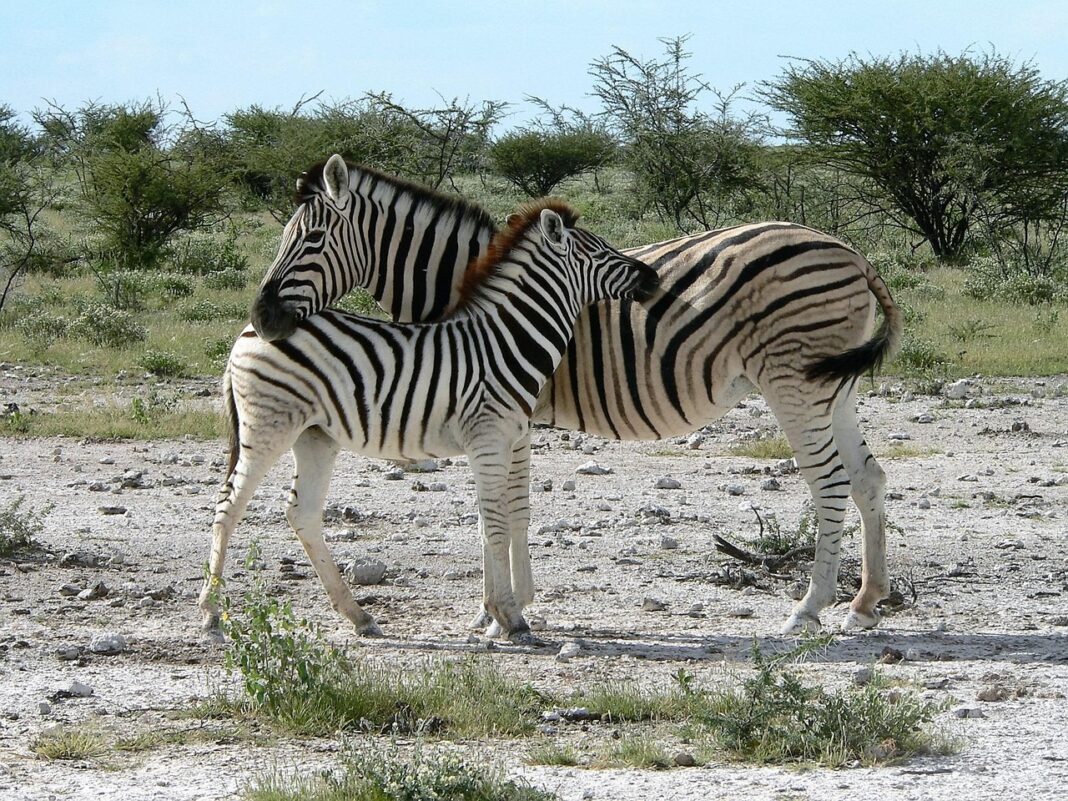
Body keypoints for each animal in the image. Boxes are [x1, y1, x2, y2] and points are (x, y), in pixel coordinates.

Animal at [198, 191, 658, 642]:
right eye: (598, 251)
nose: (652, 278)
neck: (507, 340)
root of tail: (246, 333)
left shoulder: (506, 439)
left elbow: (493, 520)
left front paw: (495, 612)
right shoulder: (488, 439)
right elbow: (495, 525)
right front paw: (510, 617)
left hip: (314, 436)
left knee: (303, 514)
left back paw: (358, 616)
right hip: (268, 428)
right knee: (228, 506)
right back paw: (211, 615)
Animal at [252, 155, 903, 635]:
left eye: (311, 239)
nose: (261, 319)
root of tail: (854, 253)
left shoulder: (503, 410)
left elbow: (502, 507)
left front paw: (499, 613)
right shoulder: (503, 413)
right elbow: (513, 506)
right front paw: (509, 606)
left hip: (793, 380)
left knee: (829, 482)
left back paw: (807, 609)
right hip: (833, 386)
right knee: (867, 476)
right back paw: (865, 601)